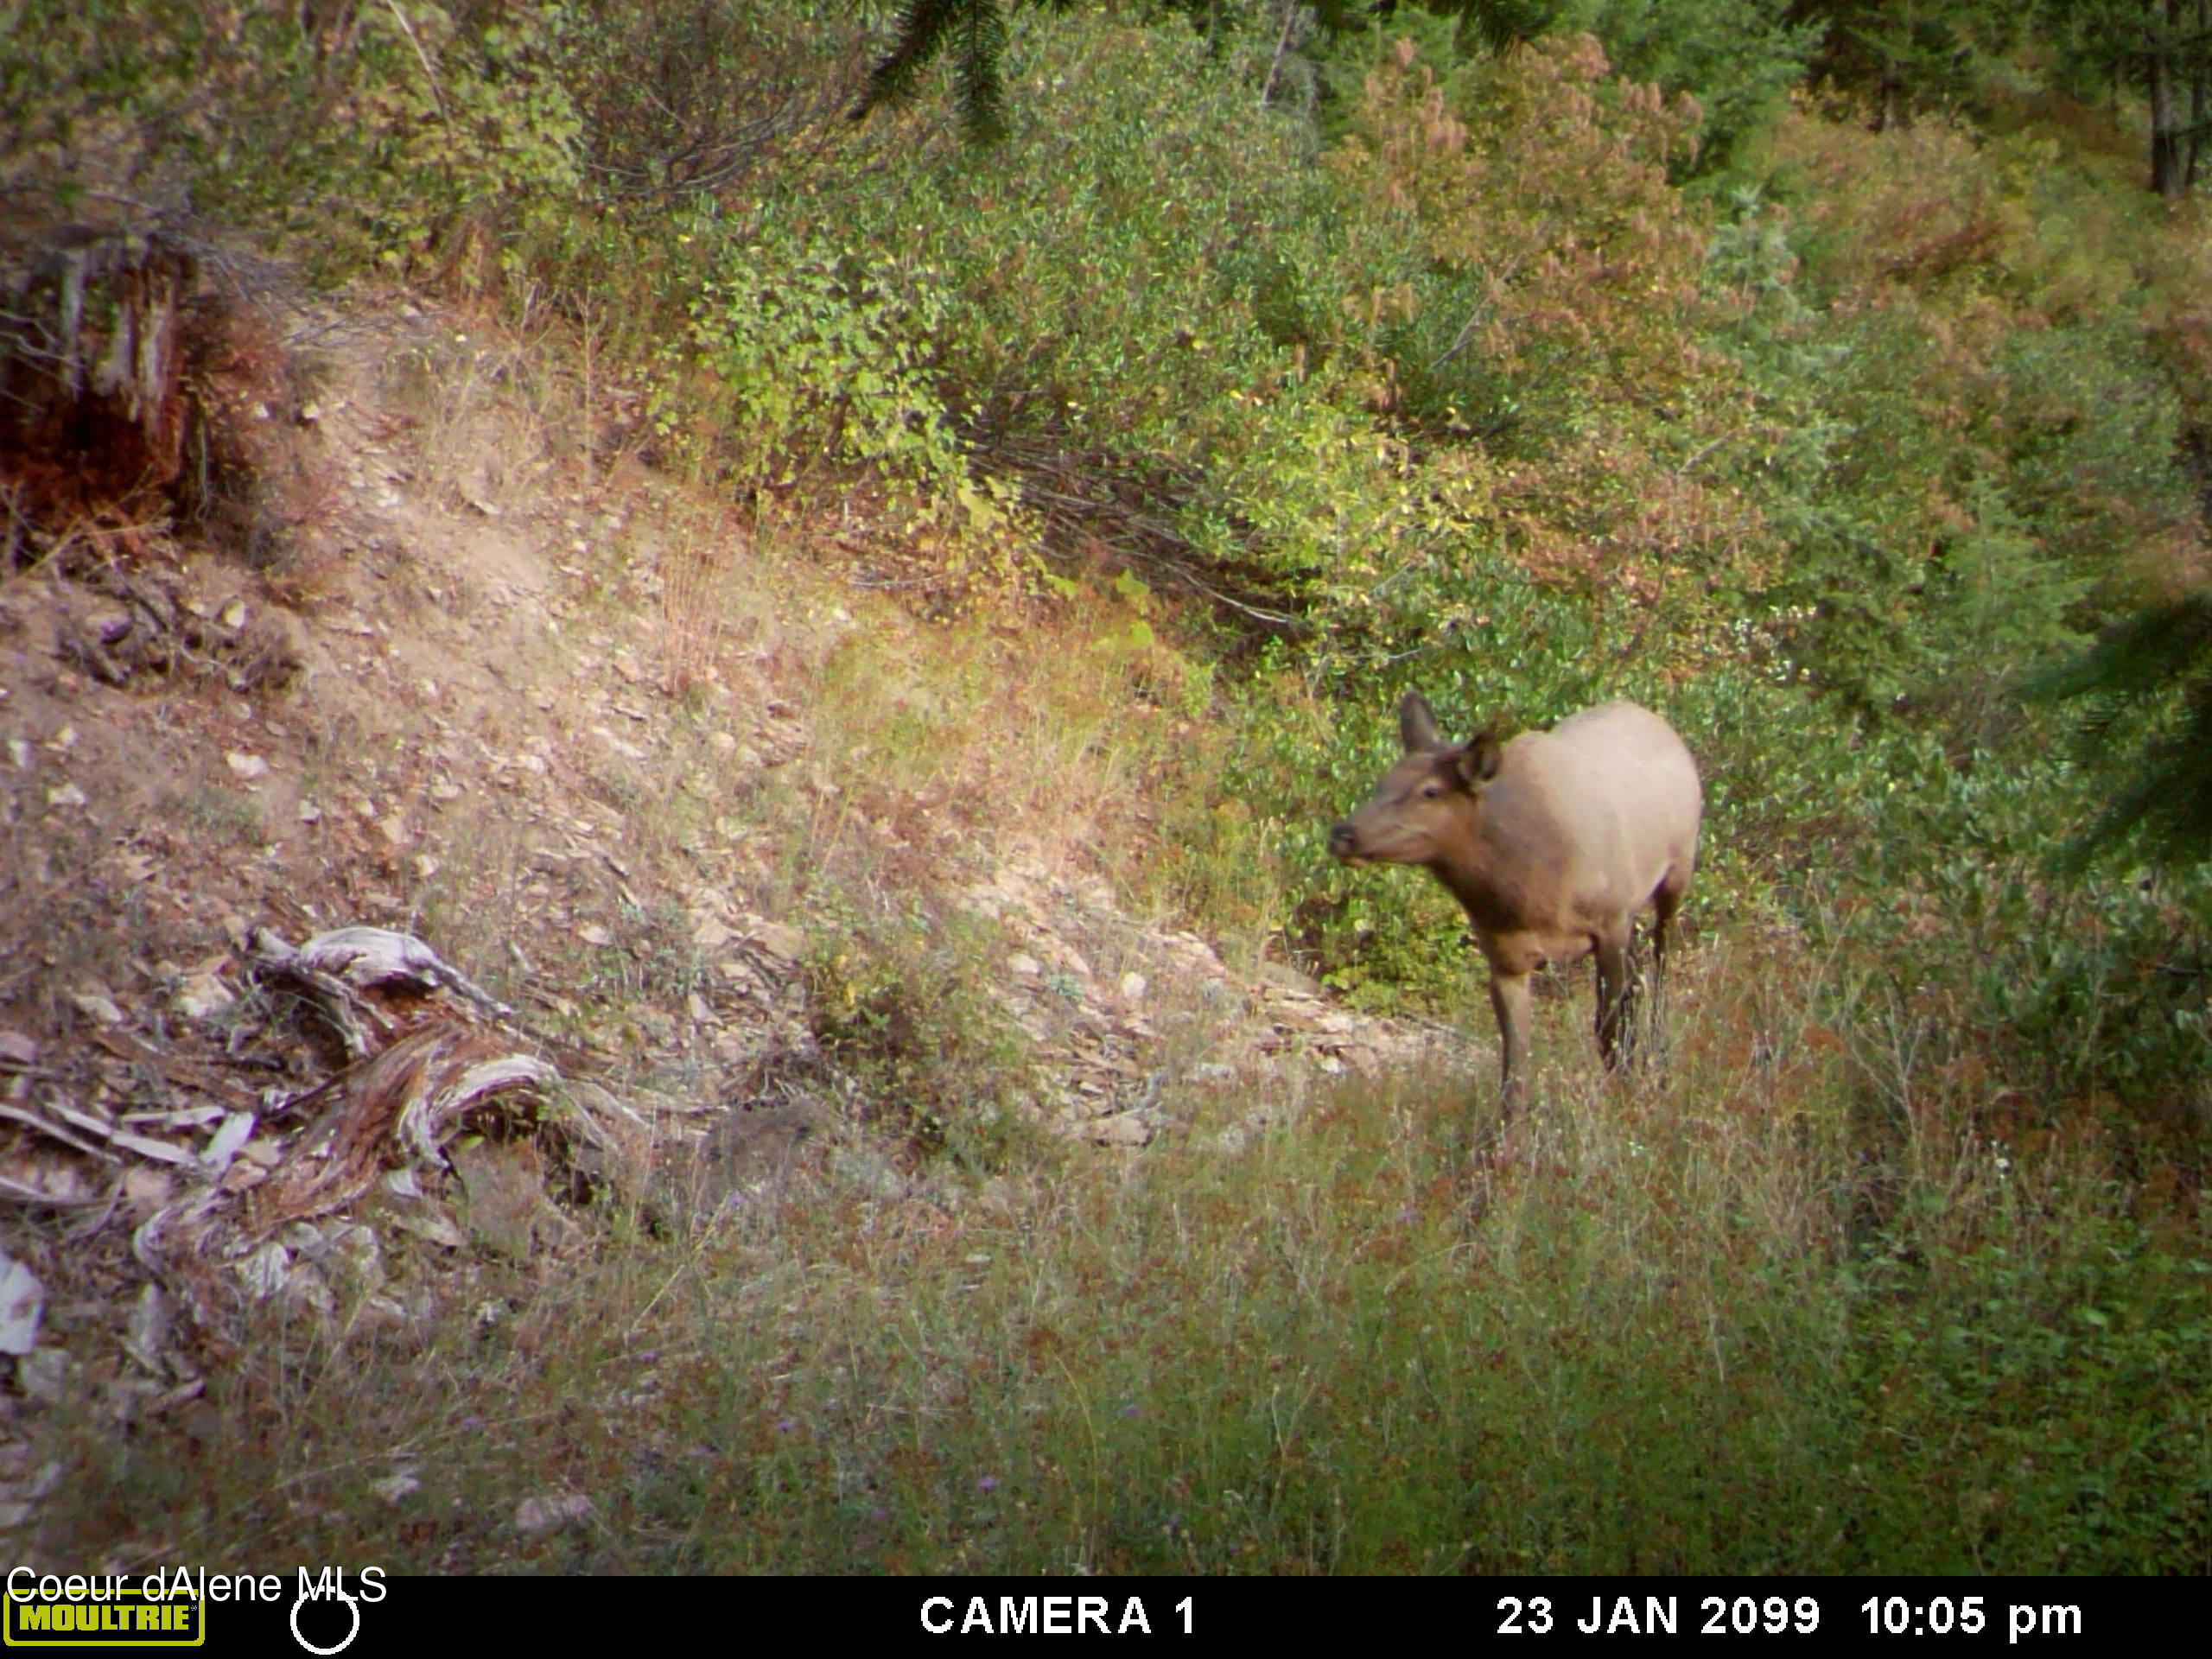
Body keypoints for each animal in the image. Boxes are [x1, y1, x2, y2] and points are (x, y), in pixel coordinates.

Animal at [1318, 690, 1699, 1119]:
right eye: (1382, 783)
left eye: (1430, 791)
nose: (1343, 835)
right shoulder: (1506, 956)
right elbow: (1514, 1064)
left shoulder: (1610, 923)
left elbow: (1608, 1029)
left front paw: (1627, 1098)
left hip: (1675, 879)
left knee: (1661, 969)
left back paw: (1660, 1059)